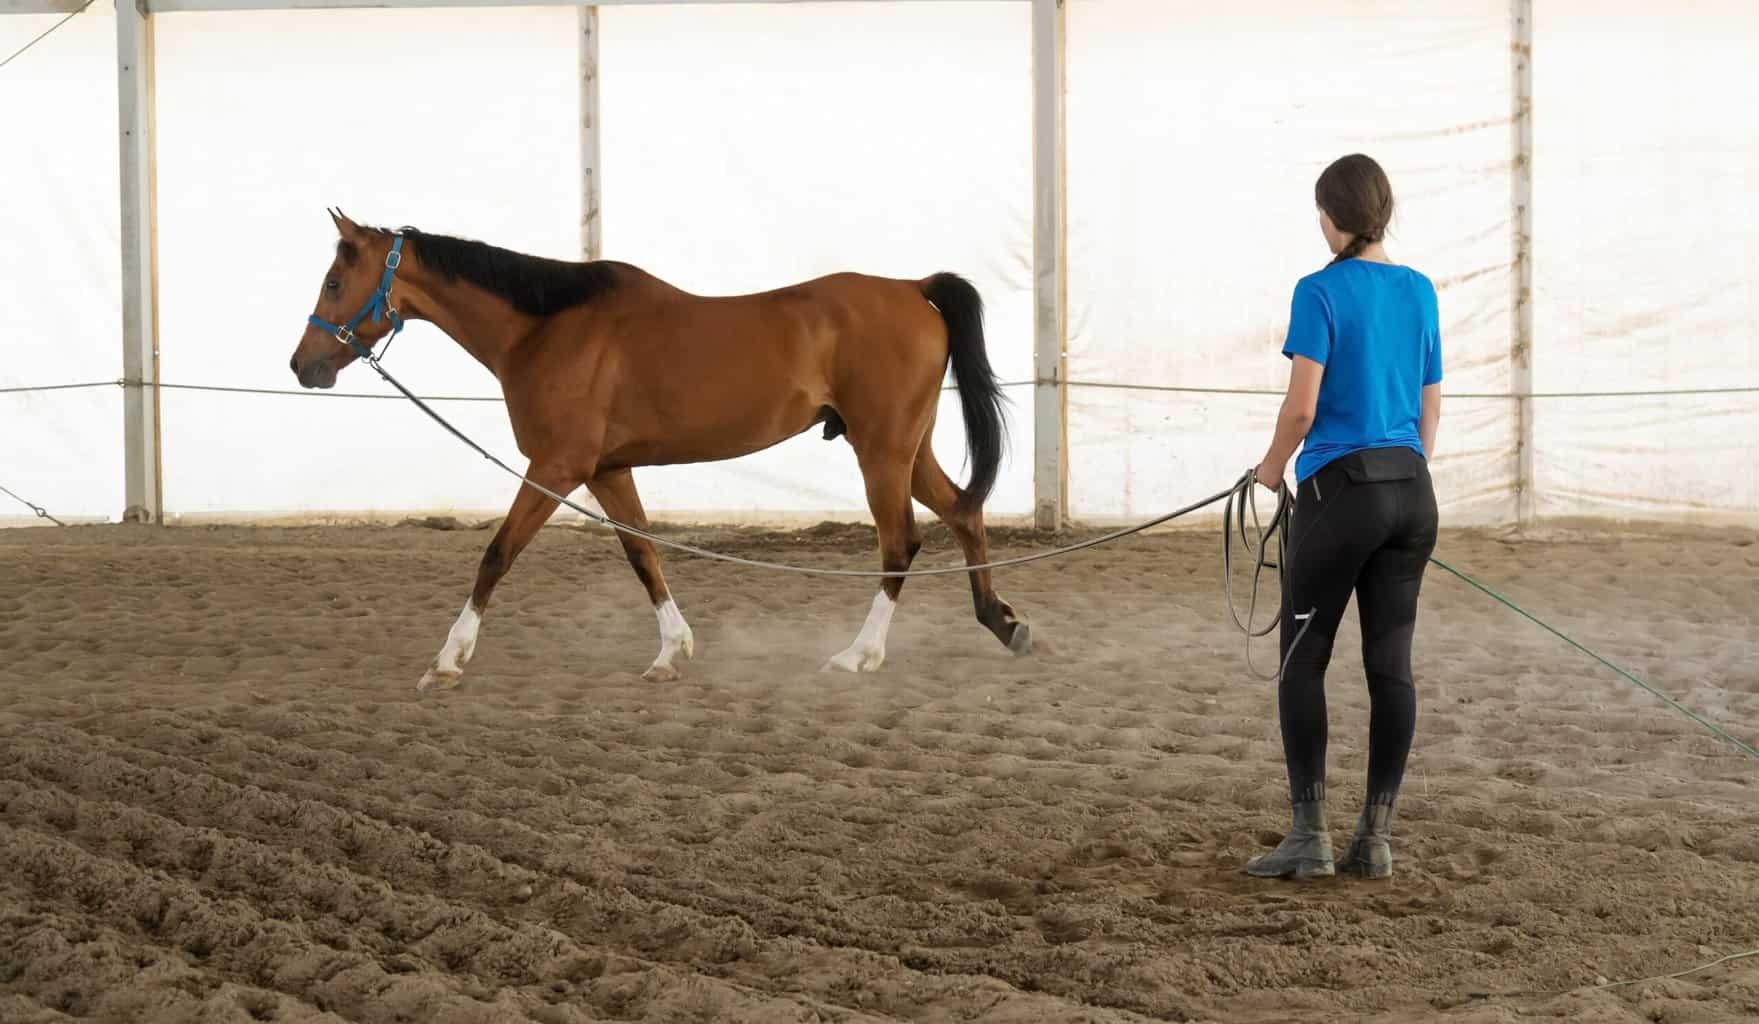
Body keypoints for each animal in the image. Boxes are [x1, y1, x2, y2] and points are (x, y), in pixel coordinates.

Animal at [288, 209, 1027, 693]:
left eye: (332, 283)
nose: (302, 366)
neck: (544, 329)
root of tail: (912, 290)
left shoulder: (555, 467)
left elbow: (496, 555)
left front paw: (447, 659)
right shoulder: (608, 471)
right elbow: (643, 554)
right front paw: (672, 652)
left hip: (881, 451)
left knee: (901, 543)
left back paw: (858, 655)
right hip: (907, 449)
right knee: (963, 512)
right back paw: (1002, 622)